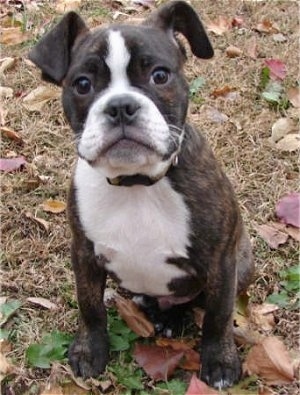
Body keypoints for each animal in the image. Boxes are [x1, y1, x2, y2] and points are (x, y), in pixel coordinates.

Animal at [28, 0, 254, 390]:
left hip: (242, 262)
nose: (120, 106)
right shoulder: (84, 254)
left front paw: (220, 362)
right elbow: (90, 307)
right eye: (82, 84)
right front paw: (90, 351)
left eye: (160, 76)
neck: (136, 182)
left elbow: (218, 316)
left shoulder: (221, 261)